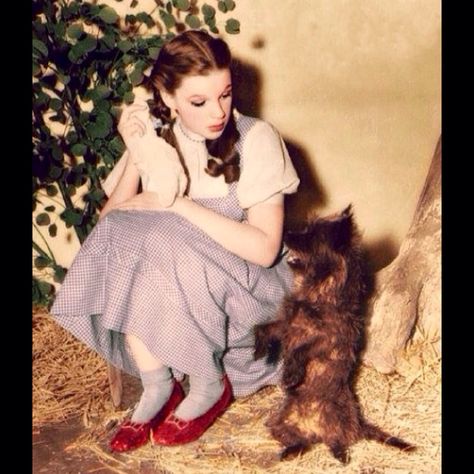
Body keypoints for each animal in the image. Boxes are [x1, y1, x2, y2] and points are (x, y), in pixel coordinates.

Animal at [254, 205, 412, 462]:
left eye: (311, 237)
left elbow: (302, 349)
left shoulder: (326, 339)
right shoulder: (288, 325)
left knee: (338, 440)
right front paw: (259, 348)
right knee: (303, 442)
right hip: (280, 423)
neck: (317, 293)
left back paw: (340, 453)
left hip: (338, 421)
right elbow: (263, 327)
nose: (285, 232)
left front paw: (291, 372)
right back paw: (290, 451)